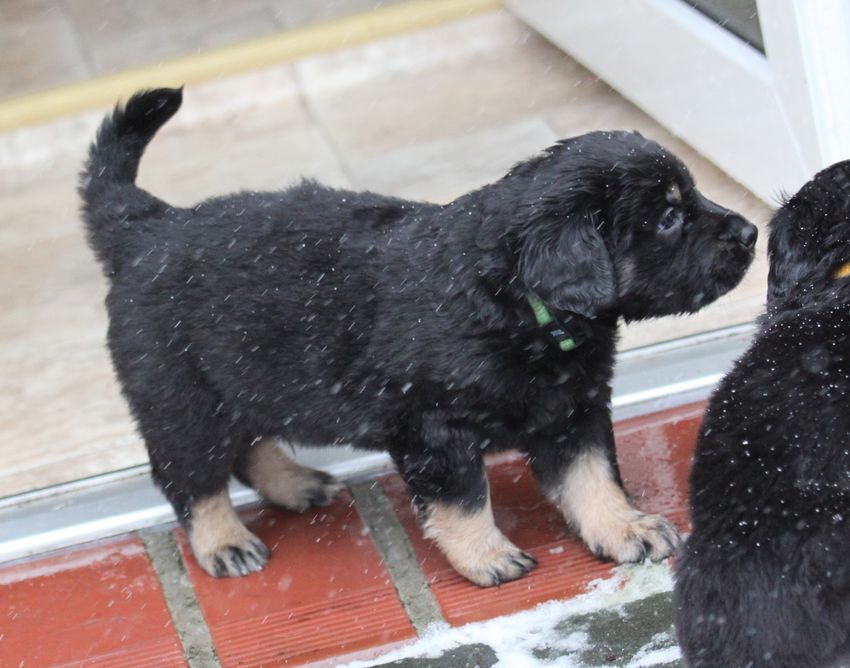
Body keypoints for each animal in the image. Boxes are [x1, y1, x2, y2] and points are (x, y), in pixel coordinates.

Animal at [80, 88, 756, 586]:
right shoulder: (434, 428)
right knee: (191, 479)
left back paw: (296, 483)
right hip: (183, 401)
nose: (751, 232)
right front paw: (487, 556)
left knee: (250, 446)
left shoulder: (574, 409)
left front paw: (624, 529)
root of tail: (148, 229)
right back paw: (223, 541)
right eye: (667, 218)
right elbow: (464, 500)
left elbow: (593, 478)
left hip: (245, 378)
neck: (521, 303)